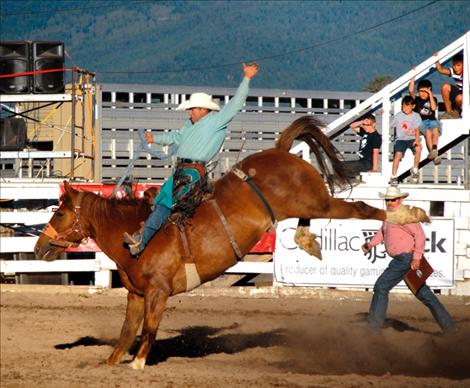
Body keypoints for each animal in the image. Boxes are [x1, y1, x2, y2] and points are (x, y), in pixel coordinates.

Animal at [35, 115, 414, 370]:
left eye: (60, 214)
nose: (39, 248)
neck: (134, 231)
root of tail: (280, 152)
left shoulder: (157, 292)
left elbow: (149, 330)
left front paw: (139, 364)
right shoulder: (136, 294)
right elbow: (127, 332)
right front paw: (110, 362)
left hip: (317, 203)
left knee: (361, 208)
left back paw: (408, 216)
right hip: (302, 207)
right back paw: (309, 241)